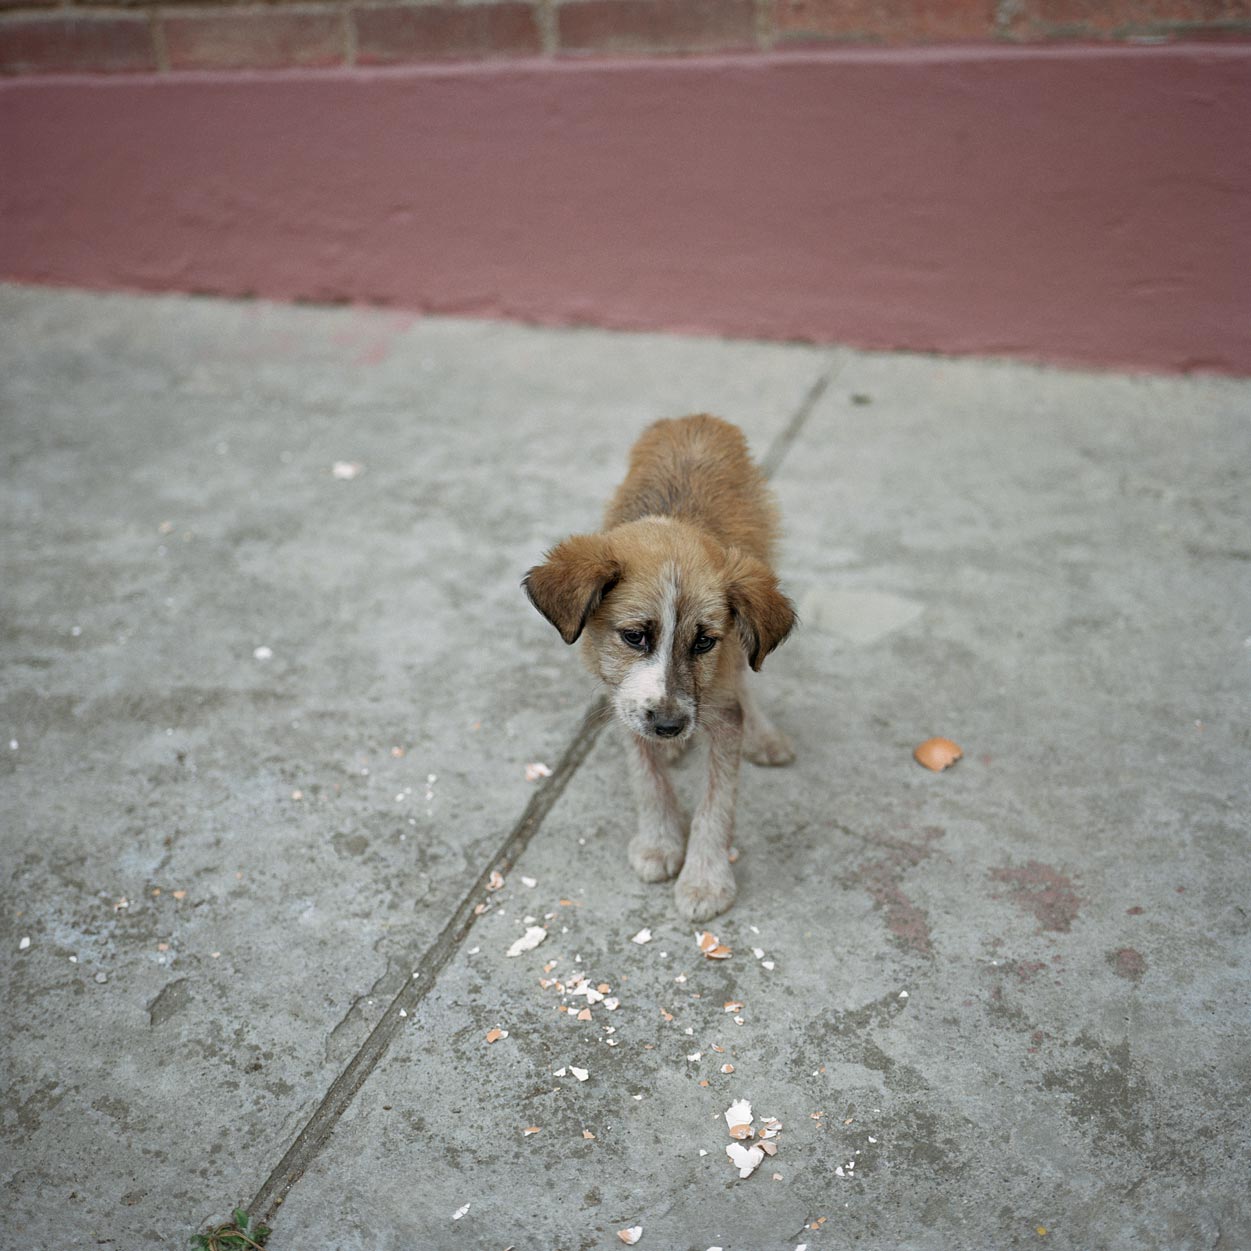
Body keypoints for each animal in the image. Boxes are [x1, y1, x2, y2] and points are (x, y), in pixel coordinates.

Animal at [522, 415, 795, 915]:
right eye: (634, 636)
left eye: (704, 641)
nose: (669, 726)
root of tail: (698, 418)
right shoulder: (624, 699)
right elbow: (646, 778)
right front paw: (660, 842)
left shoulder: (721, 707)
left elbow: (716, 803)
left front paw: (705, 880)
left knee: (747, 675)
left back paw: (763, 736)